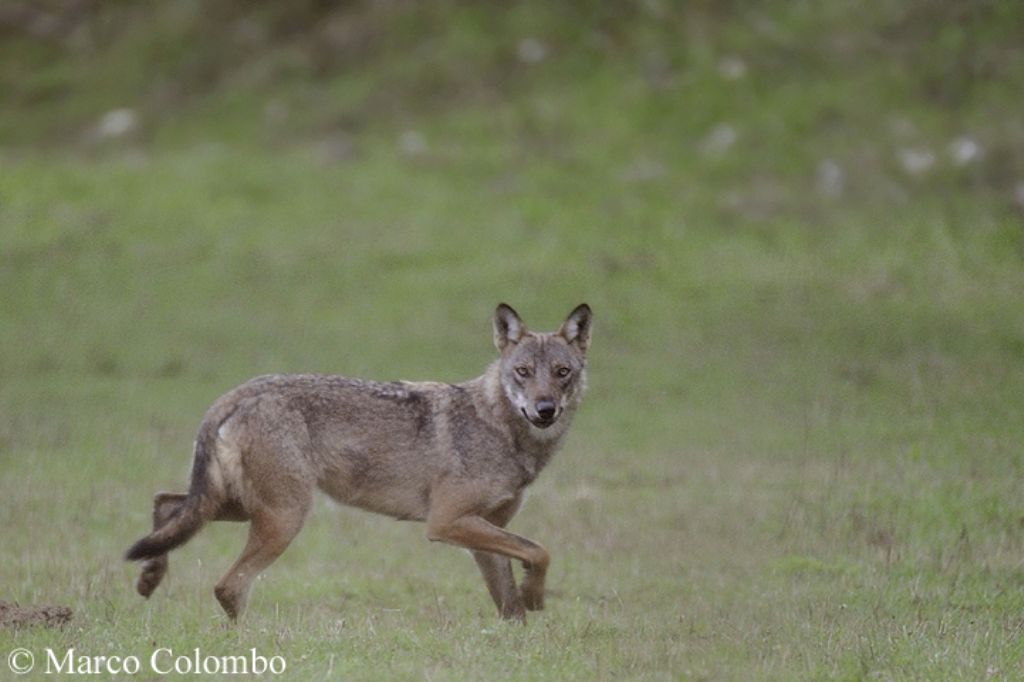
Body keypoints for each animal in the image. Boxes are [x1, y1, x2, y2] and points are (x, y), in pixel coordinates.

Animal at [124, 303, 593, 622]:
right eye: (523, 372)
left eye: (562, 372)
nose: (545, 410)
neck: (502, 430)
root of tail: (240, 391)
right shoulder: (446, 522)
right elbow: (540, 550)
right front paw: (536, 596)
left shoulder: (485, 530)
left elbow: (511, 599)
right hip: (283, 517)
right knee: (227, 585)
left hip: (241, 508)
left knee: (166, 503)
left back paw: (149, 578)